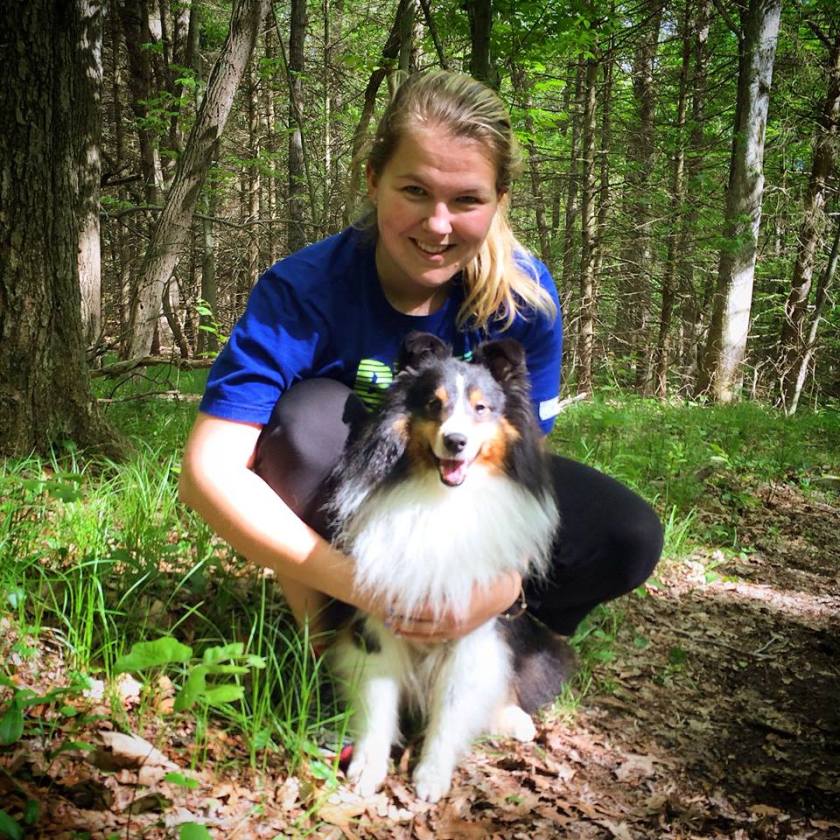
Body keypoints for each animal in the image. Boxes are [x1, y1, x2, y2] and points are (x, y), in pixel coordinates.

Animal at [325, 331, 573, 803]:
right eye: (433, 404)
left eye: (481, 408)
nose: (455, 441)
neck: (441, 500)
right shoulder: (380, 622)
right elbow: (378, 700)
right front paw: (367, 767)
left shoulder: (473, 628)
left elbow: (453, 707)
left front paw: (431, 776)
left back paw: (514, 719)